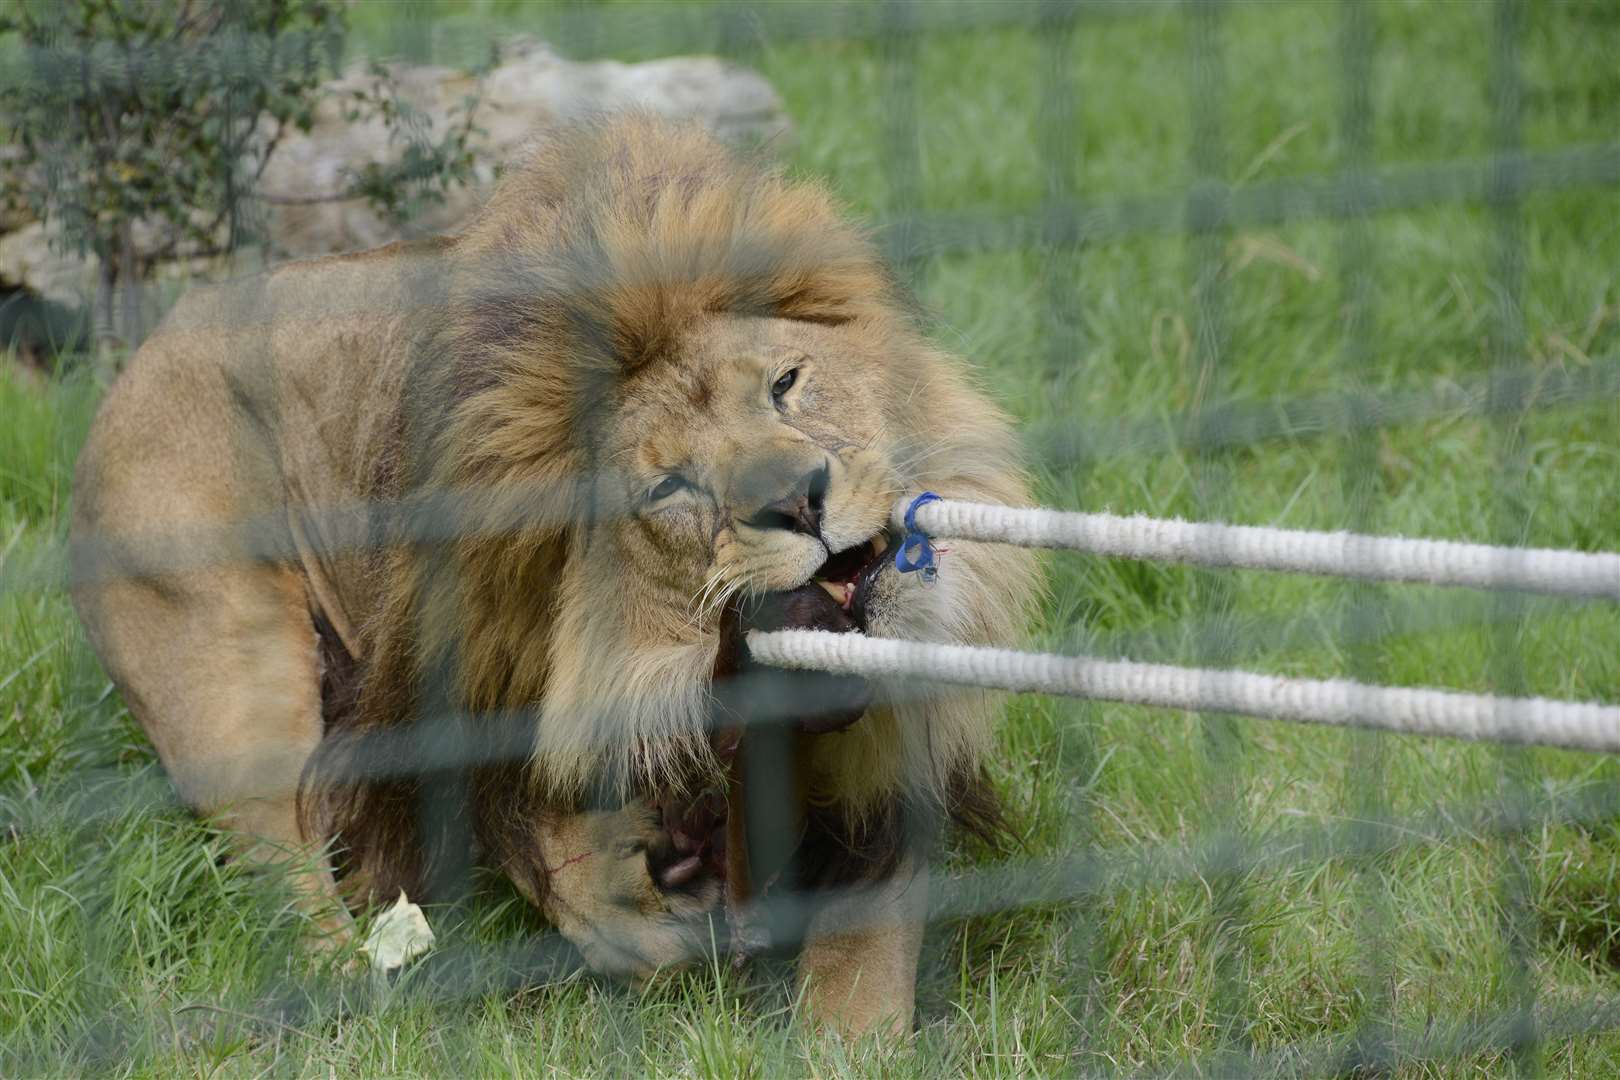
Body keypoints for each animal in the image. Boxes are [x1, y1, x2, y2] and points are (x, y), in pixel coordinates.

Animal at [69, 114, 1036, 1036]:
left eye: (787, 383)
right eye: (672, 486)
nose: (799, 501)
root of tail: (138, 356)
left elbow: (859, 977)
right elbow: (596, 895)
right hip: (234, 691)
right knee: (292, 879)